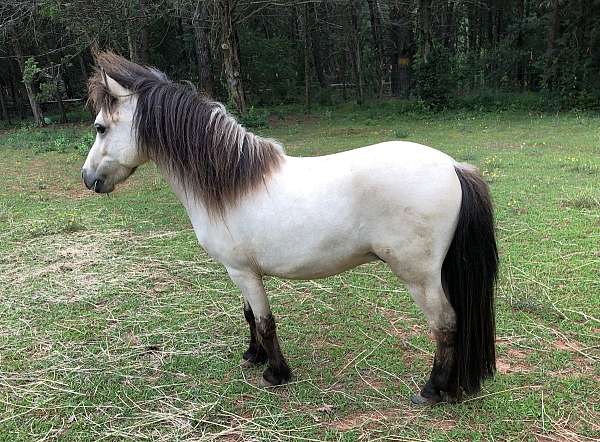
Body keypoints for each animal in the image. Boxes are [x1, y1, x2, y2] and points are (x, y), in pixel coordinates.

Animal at [82, 51, 500, 404]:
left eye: (100, 128)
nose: (88, 179)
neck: (228, 183)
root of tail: (454, 167)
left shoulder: (242, 271)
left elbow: (266, 322)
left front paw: (276, 373)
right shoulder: (240, 271)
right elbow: (250, 316)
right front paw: (253, 356)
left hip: (420, 277)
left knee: (446, 325)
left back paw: (432, 390)